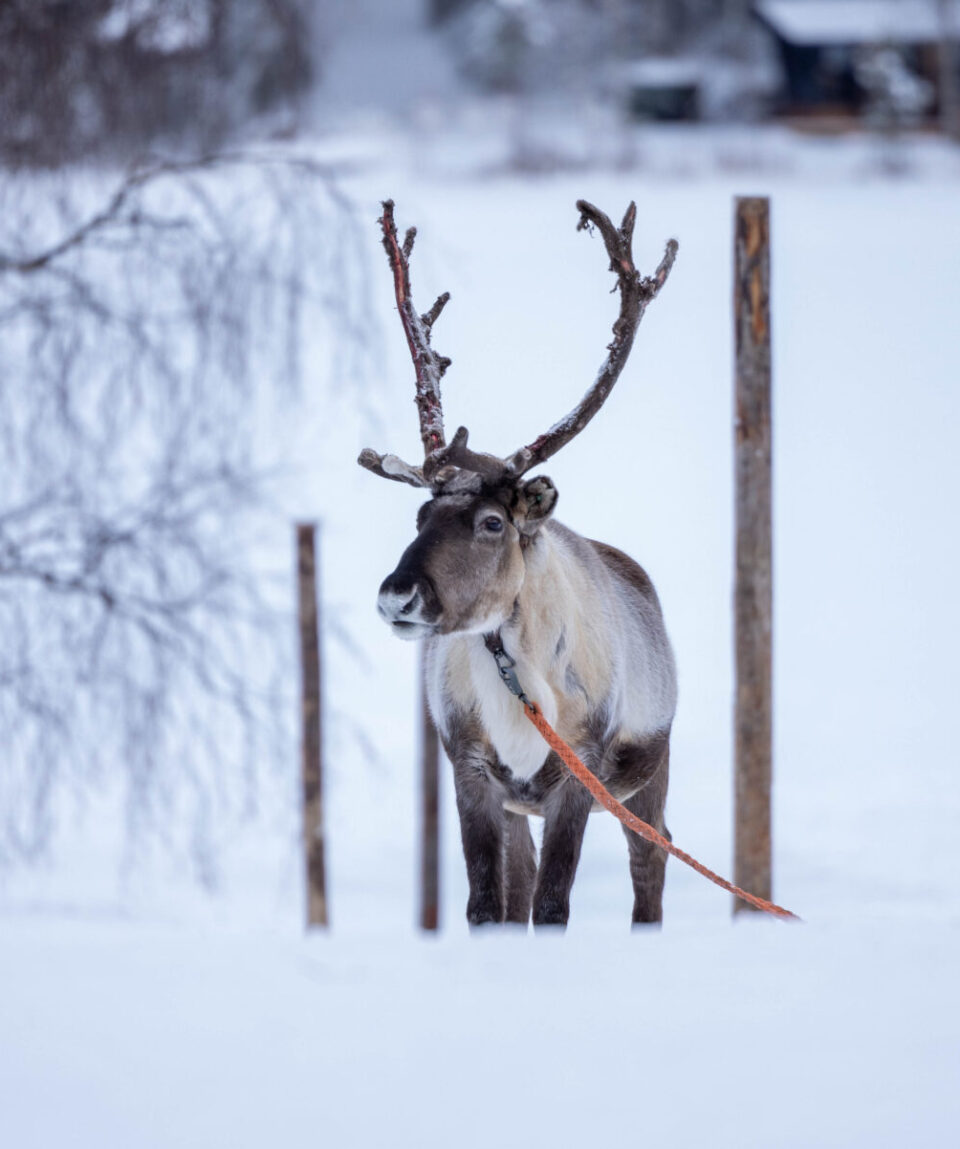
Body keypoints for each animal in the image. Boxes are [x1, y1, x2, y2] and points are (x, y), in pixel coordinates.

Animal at [359, 199, 679, 928]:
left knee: (652, 863)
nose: (397, 597)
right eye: (418, 516)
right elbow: (486, 903)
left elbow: (554, 904)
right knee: (520, 879)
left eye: (492, 522)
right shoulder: (473, 769)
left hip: (649, 773)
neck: (514, 666)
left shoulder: (580, 768)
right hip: (517, 804)